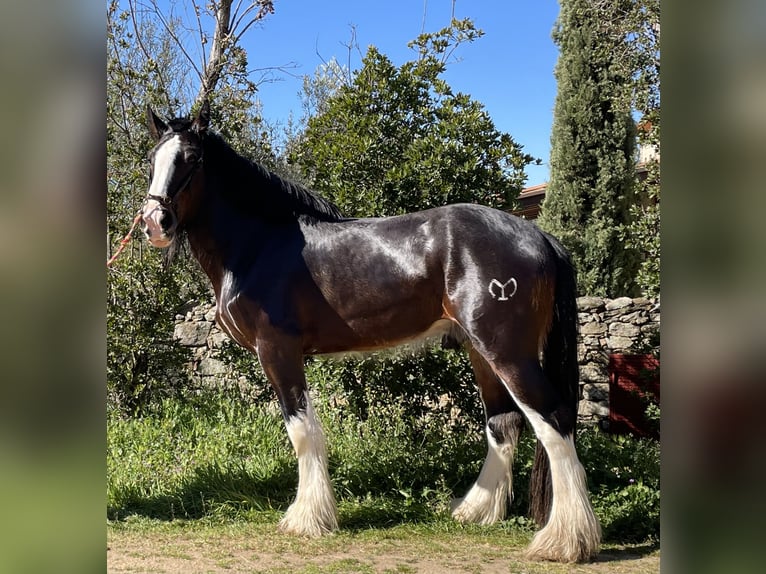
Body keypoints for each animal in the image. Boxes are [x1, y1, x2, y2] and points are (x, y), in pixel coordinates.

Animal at [141, 101, 604, 564]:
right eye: (153, 159)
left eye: (192, 159)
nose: (154, 223)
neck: (260, 245)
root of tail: (539, 235)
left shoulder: (278, 351)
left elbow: (302, 431)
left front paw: (307, 519)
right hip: (481, 351)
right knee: (503, 423)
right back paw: (476, 511)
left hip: (507, 352)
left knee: (554, 421)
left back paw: (565, 540)